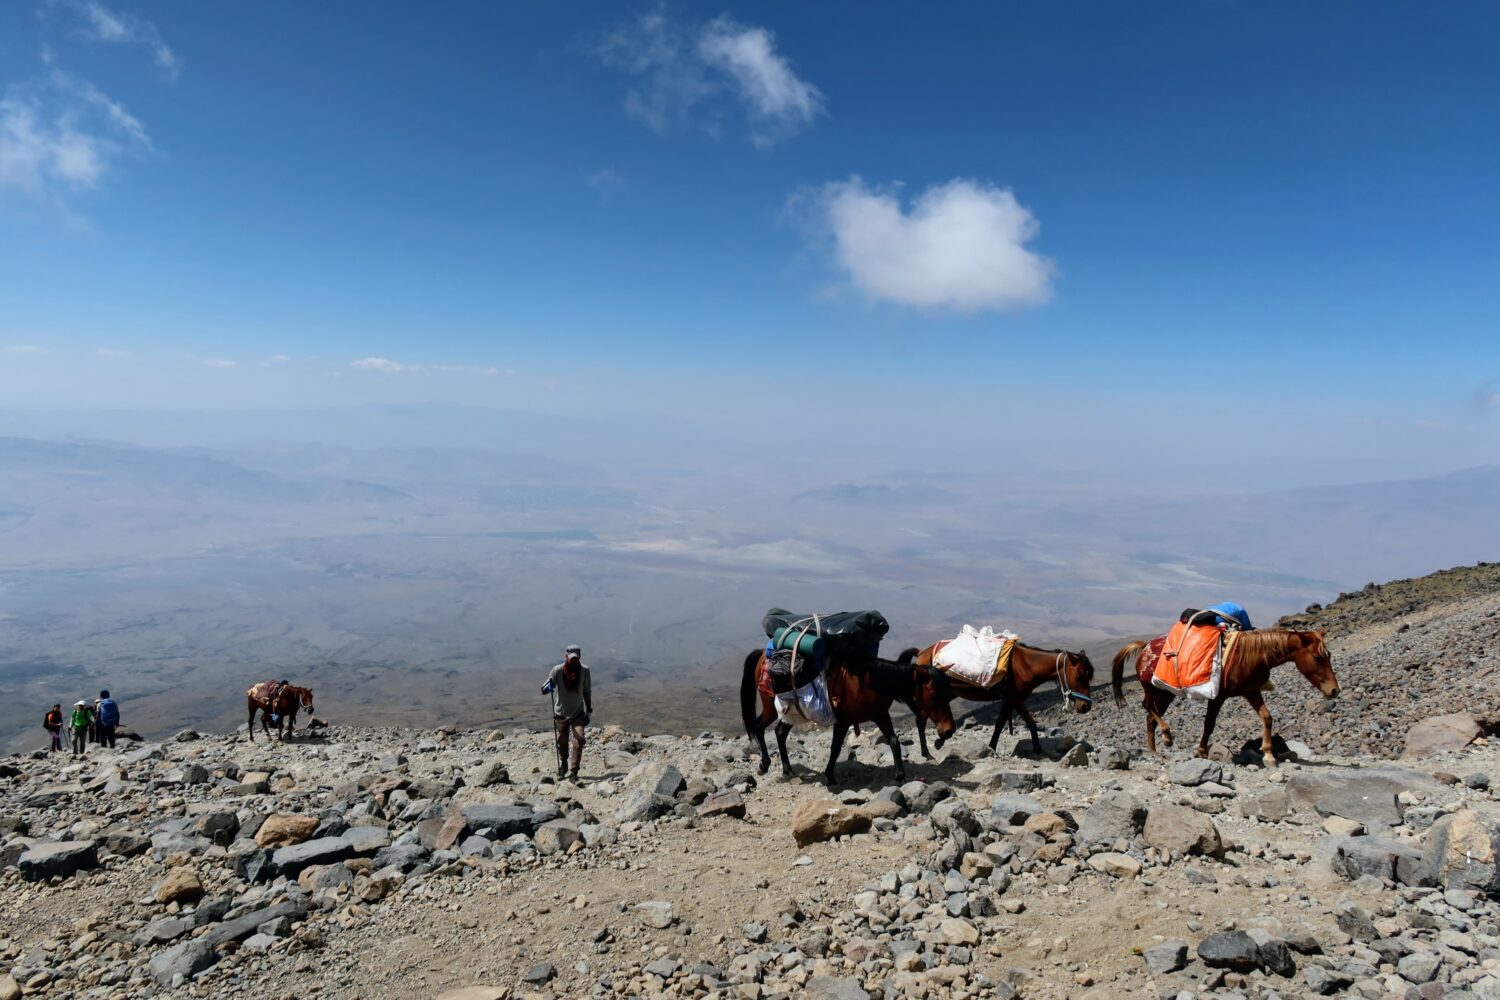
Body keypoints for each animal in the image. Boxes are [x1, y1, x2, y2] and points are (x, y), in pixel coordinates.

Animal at [739, 648, 957, 786]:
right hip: (773, 708)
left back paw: (787, 769)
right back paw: (764, 765)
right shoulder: (844, 721)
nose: (949, 730)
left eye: (948, 692)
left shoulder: (880, 715)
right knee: (758, 727)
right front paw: (830, 776)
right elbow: (835, 748)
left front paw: (900, 775)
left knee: (779, 732)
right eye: (935, 693)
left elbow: (894, 741)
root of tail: (762, 654)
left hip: (792, 712)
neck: (869, 680)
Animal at [903, 643, 1095, 757]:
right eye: (1080, 675)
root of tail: (921, 653)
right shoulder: (1015, 698)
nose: (1085, 706)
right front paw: (1036, 749)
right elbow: (1023, 722)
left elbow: (1006, 723)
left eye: (1089, 676)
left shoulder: (1012, 700)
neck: (1026, 665)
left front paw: (993, 747)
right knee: (920, 721)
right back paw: (929, 749)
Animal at [1111, 628, 1338, 767]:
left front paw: (1268, 754)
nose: (1334, 690)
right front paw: (1201, 751)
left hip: (1166, 693)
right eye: (1318, 657)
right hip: (1152, 689)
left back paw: (1154, 750)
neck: (1251, 656)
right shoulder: (1218, 696)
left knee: (1150, 716)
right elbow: (1209, 724)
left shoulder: (1251, 691)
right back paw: (1166, 737)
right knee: (1147, 706)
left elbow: (1267, 717)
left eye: (1329, 655)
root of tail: (1144, 647)